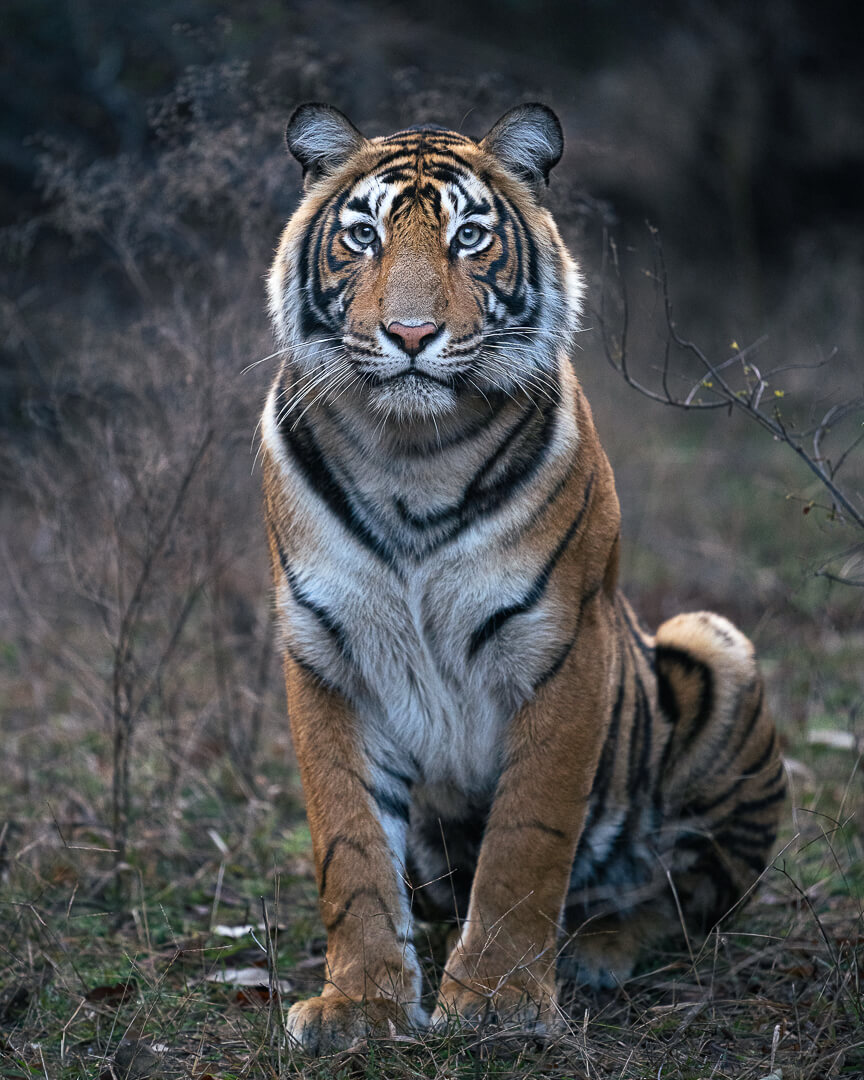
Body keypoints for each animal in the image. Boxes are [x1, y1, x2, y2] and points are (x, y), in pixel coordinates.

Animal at [259, 101, 786, 1055]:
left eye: (469, 237)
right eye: (362, 236)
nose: (412, 336)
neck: (412, 454)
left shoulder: (560, 645)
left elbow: (526, 842)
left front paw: (498, 1000)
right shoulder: (326, 655)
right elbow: (349, 846)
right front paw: (361, 1006)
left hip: (711, 644)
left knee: (688, 897)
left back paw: (598, 948)